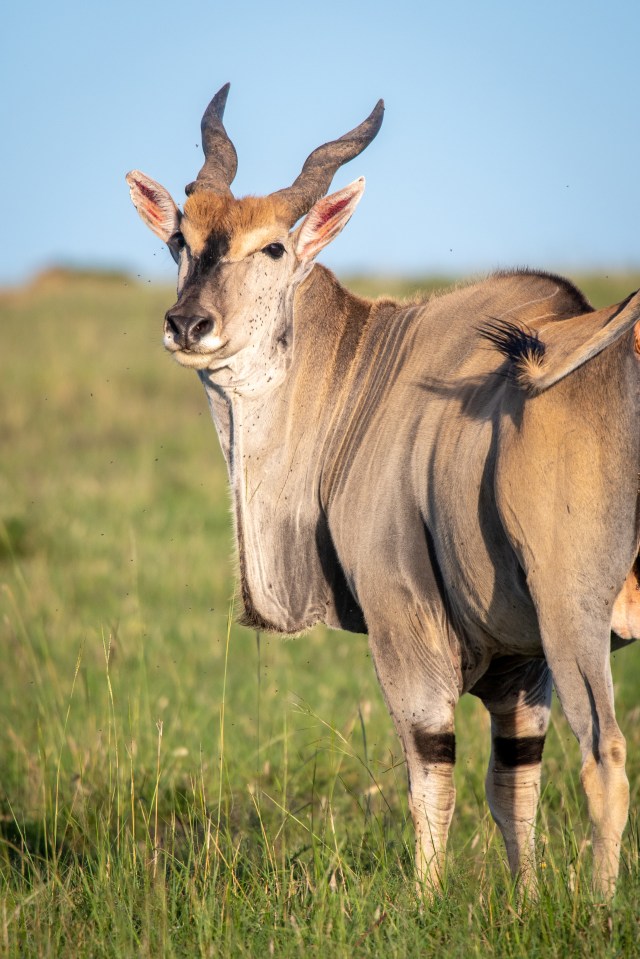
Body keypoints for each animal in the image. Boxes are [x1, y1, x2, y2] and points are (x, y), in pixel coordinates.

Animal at [127, 86, 640, 896]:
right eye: (182, 240)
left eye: (272, 248)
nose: (188, 324)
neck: (367, 368)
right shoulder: (520, 665)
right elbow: (514, 783)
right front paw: (525, 901)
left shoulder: (409, 626)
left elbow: (432, 771)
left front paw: (425, 902)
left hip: (574, 615)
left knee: (605, 757)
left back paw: (599, 908)